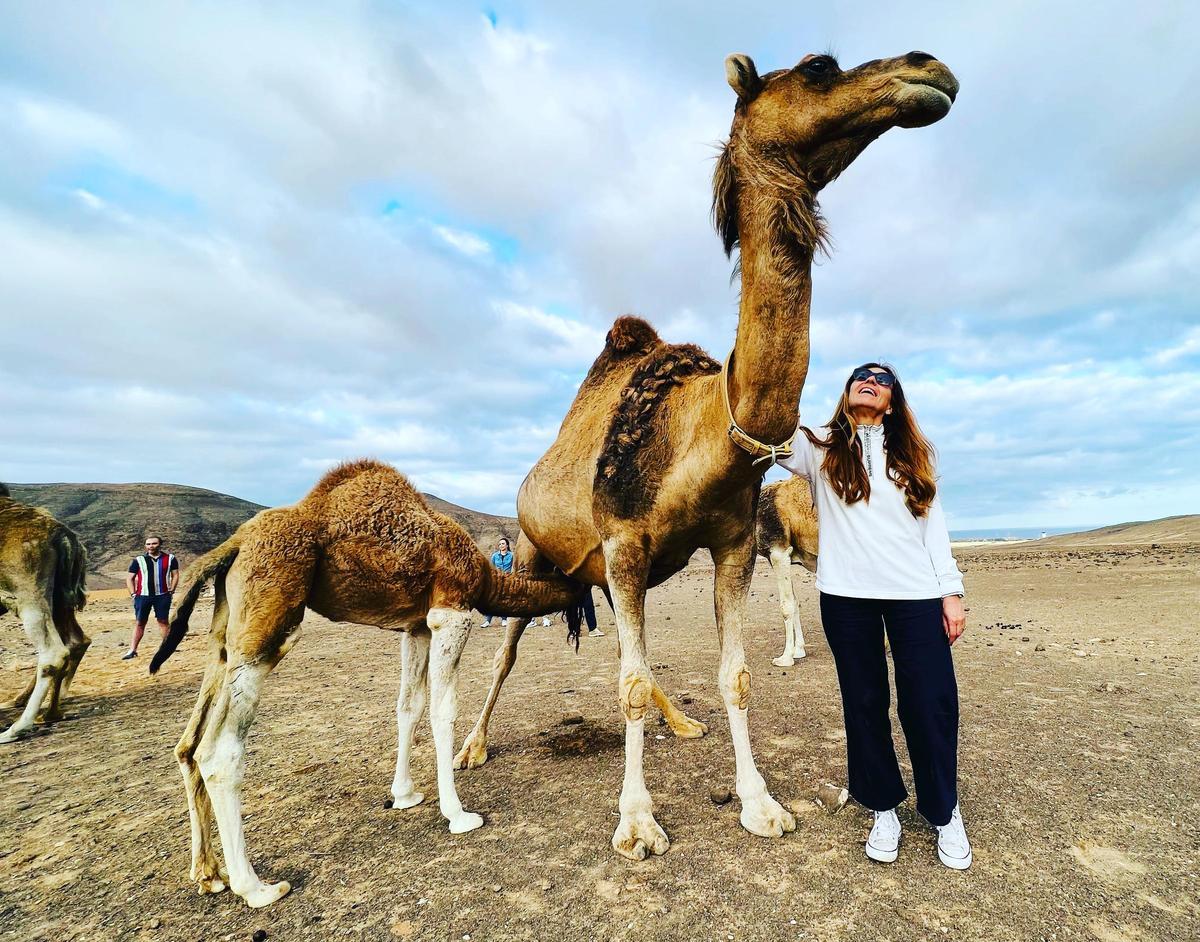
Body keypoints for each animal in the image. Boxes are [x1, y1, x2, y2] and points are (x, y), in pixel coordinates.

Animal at [0, 483, 90, 743]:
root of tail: (64, 537)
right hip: (59, 598)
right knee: (76, 641)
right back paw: (50, 712)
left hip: (27, 592)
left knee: (53, 652)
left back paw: (16, 729)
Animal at [148, 460, 583, 909]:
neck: (485, 576)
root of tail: (233, 544)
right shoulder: (451, 610)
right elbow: (442, 710)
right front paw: (458, 814)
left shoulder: (416, 625)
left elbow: (409, 706)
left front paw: (404, 794)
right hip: (269, 613)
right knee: (218, 752)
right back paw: (256, 887)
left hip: (225, 627)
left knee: (188, 744)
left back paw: (207, 873)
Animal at [757, 477, 818, 667]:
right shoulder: (783, 556)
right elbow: (795, 602)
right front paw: (799, 650)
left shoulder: (778, 551)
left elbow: (786, 605)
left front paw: (785, 658)